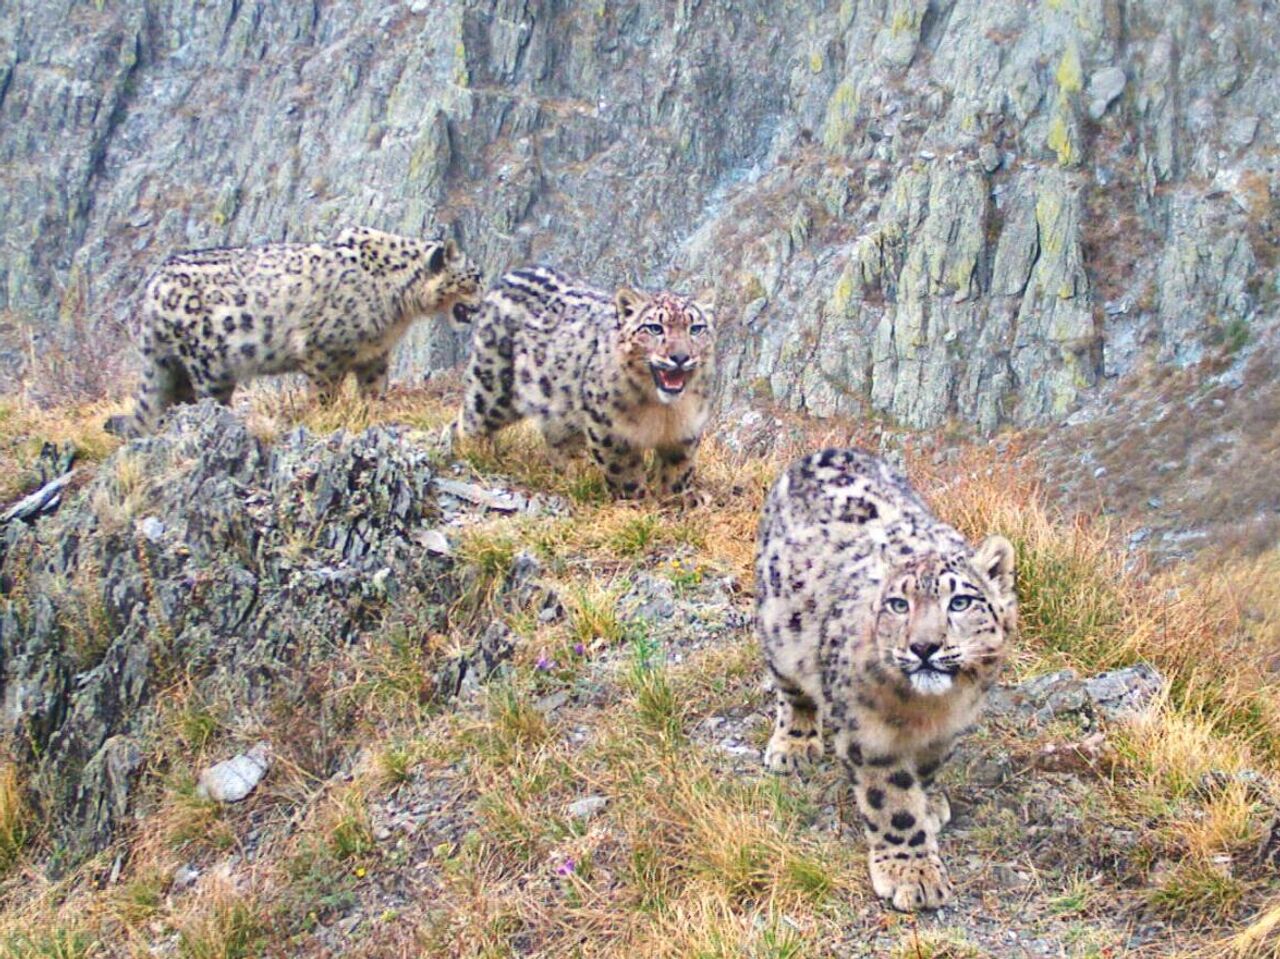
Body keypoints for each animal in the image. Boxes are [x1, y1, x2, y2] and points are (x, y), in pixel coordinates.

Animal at [458, 265, 721, 496]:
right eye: (655, 328)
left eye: (696, 328)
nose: (680, 357)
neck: (664, 411)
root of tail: (510, 275)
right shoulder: (608, 428)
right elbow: (623, 469)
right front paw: (637, 502)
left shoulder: (686, 430)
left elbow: (678, 470)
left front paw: (679, 501)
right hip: (494, 388)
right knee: (468, 420)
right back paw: (475, 453)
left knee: (557, 442)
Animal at [752, 448, 1013, 911]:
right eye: (897, 604)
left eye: (960, 602)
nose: (924, 646)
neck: (927, 710)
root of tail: (825, 450)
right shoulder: (869, 735)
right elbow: (892, 802)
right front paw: (915, 875)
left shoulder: (946, 731)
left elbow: (924, 773)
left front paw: (929, 803)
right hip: (780, 628)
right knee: (792, 690)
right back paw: (793, 745)